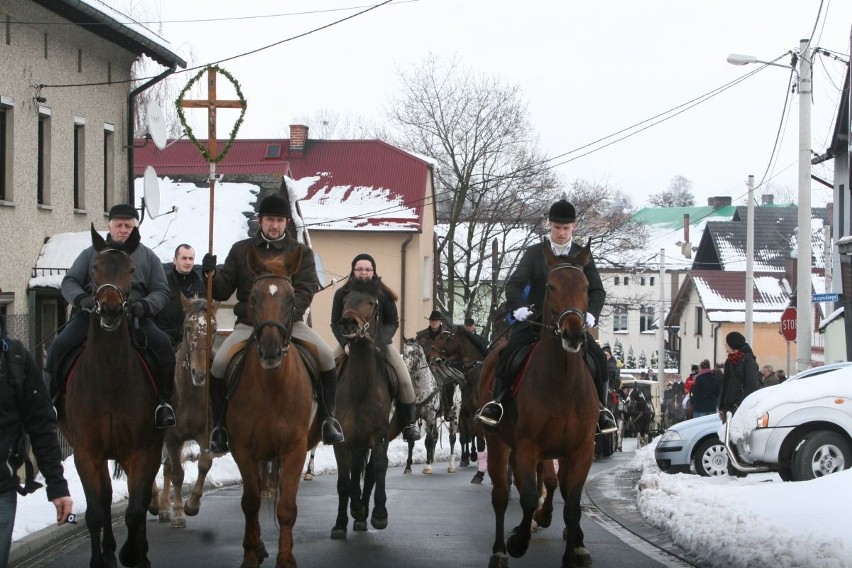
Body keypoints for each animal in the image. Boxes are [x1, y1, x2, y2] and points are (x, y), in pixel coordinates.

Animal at [59, 225, 165, 568]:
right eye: (94, 268)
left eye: (131, 270)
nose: (110, 309)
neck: (108, 378)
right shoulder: (86, 452)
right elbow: (96, 510)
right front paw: (101, 558)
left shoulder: (141, 451)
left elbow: (135, 509)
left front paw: (133, 553)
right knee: (105, 497)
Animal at [153, 296, 220, 532]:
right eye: (189, 327)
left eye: (214, 329)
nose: (199, 374)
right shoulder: (173, 437)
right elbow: (177, 474)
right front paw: (179, 514)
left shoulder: (205, 434)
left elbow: (205, 463)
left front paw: (192, 505)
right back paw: (155, 503)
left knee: (164, 466)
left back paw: (164, 508)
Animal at [228, 247, 318, 568]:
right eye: (253, 298)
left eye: (291, 300)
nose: (270, 351)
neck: (271, 386)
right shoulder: (242, 448)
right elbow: (251, 503)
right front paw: (250, 555)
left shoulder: (295, 449)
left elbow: (286, 508)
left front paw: (285, 558)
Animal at [480, 241, 600, 568]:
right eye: (550, 285)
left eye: (586, 287)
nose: (574, 333)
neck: (563, 381)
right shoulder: (527, 446)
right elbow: (529, 496)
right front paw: (518, 540)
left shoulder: (581, 450)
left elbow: (572, 504)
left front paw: (573, 553)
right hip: (498, 443)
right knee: (501, 494)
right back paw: (499, 550)